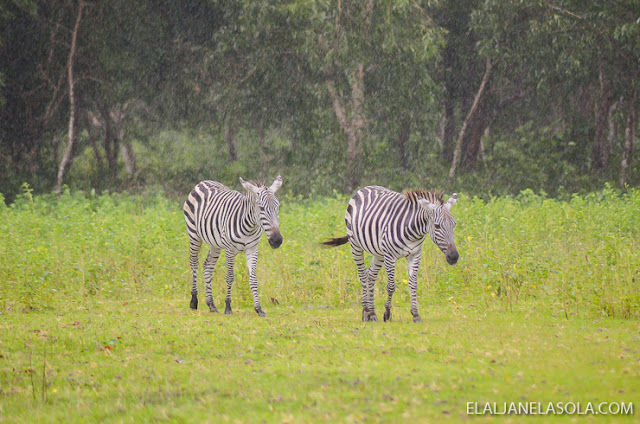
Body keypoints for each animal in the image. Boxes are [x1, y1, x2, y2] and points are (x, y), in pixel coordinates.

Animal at [182, 174, 282, 316]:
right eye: (261, 208)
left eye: (278, 207)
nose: (277, 240)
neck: (249, 226)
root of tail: (203, 182)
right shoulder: (229, 250)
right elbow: (230, 277)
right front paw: (228, 307)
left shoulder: (252, 249)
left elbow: (253, 279)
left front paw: (258, 308)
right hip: (194, 234)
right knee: (194, 263)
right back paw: (194, 301)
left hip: (215, 243)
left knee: (208, 266)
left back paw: (211, 304)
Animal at [322, 185, 458, 322]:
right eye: (437, 226)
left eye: (454, 224)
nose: (454, 257)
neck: (413, 232)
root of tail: (365, 188)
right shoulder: (390, 256)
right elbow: (391, 286)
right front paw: (387, 314)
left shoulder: (415, 255)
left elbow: (413, 284)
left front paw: (415, 314)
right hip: (355, 244)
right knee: (362, 274)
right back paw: (365, 311)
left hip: (378, 253)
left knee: (371, 275)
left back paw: (372, 313)